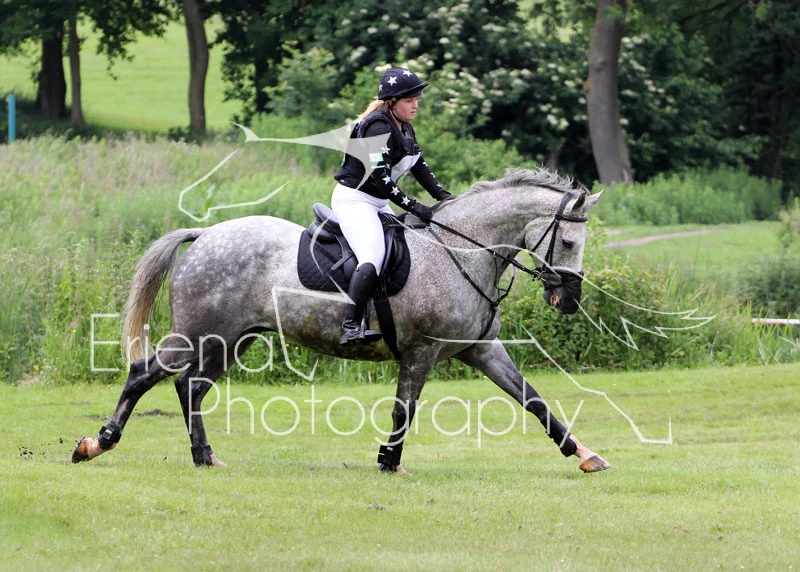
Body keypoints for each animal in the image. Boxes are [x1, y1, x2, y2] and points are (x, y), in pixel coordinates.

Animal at [72, 168, 610, 474]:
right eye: (567, 242)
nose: (569, 300)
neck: (460, 250)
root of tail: (204, 235)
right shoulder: (421, 351)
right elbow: (404, 410)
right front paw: (389, 463)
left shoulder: (481, 350)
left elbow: (534, 401)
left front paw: (584, 455)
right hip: (199, 334)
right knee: (145, 375)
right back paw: (96, 444)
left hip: (231, 340)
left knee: (191, 388)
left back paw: (204, 457)